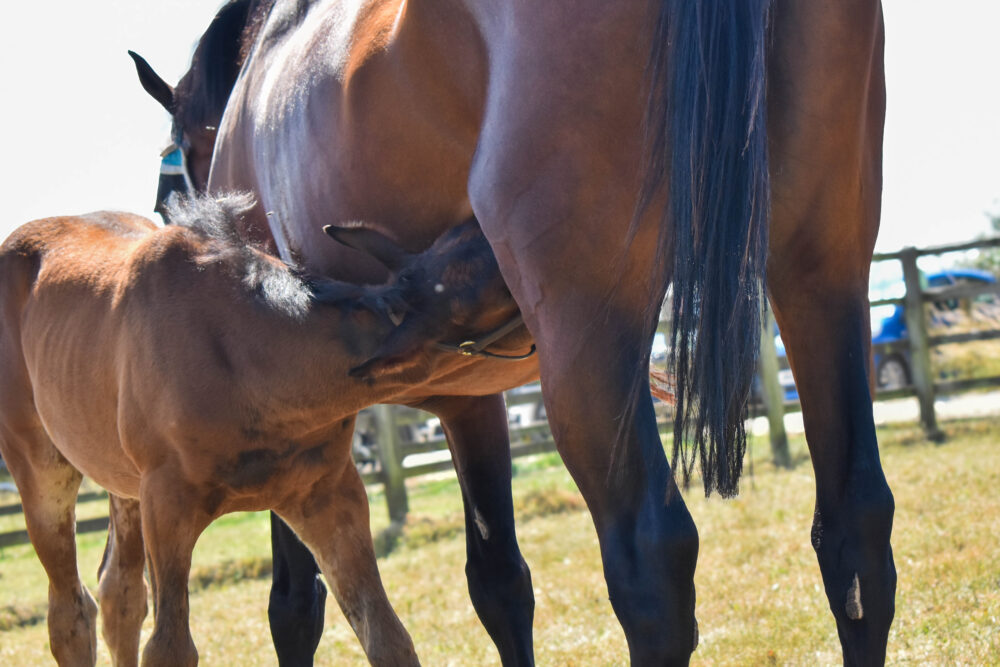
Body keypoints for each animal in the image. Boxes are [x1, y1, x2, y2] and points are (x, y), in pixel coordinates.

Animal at [0, 194, 532, 666]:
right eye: (503, 283)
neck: (251, 360)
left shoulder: (327, 496)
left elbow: (387, 637)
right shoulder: (166, 503)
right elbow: (169, 649)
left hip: (121, 484)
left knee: (119, 595)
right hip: (42, 470)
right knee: (70, 613)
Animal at [132, 0, 893, 664]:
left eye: (171, 192)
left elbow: (293, 604)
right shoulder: (472, 400)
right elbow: (499, 581)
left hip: (586, 341)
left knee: (651, 563)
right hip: (820, 275)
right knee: (855, 531)